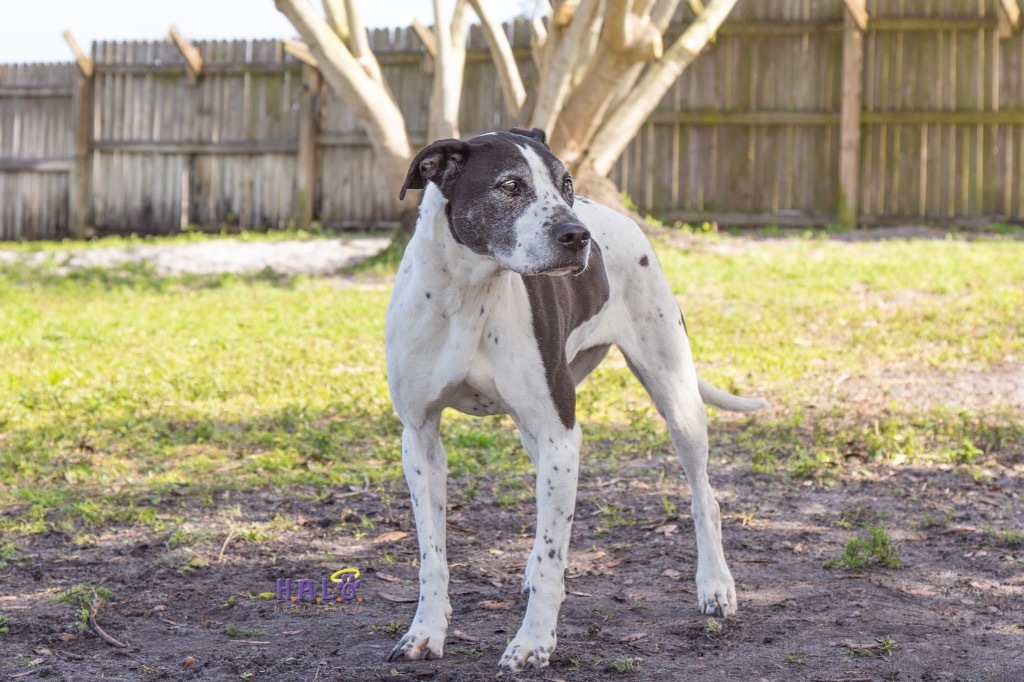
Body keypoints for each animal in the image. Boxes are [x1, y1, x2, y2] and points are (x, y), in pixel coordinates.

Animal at [385, 127, 770, 667]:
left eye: (565, 183)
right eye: (510, 186)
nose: (576, 236)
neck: (468, 294)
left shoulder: (560, 436)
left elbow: (553, 555)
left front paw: (532, 642)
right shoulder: (419, 439)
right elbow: (432, 554)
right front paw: (425, 631)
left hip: (676, 401)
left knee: (704, 499)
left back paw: (715, 584)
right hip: (541, 433)